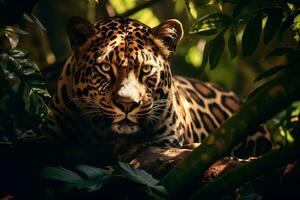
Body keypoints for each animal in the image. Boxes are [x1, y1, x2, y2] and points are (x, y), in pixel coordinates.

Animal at [42, 16, 274, 162]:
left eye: (146, 69)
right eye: (106, 67)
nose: (127, 104)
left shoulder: (168, 139)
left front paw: (127, 147)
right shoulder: (51, 130)